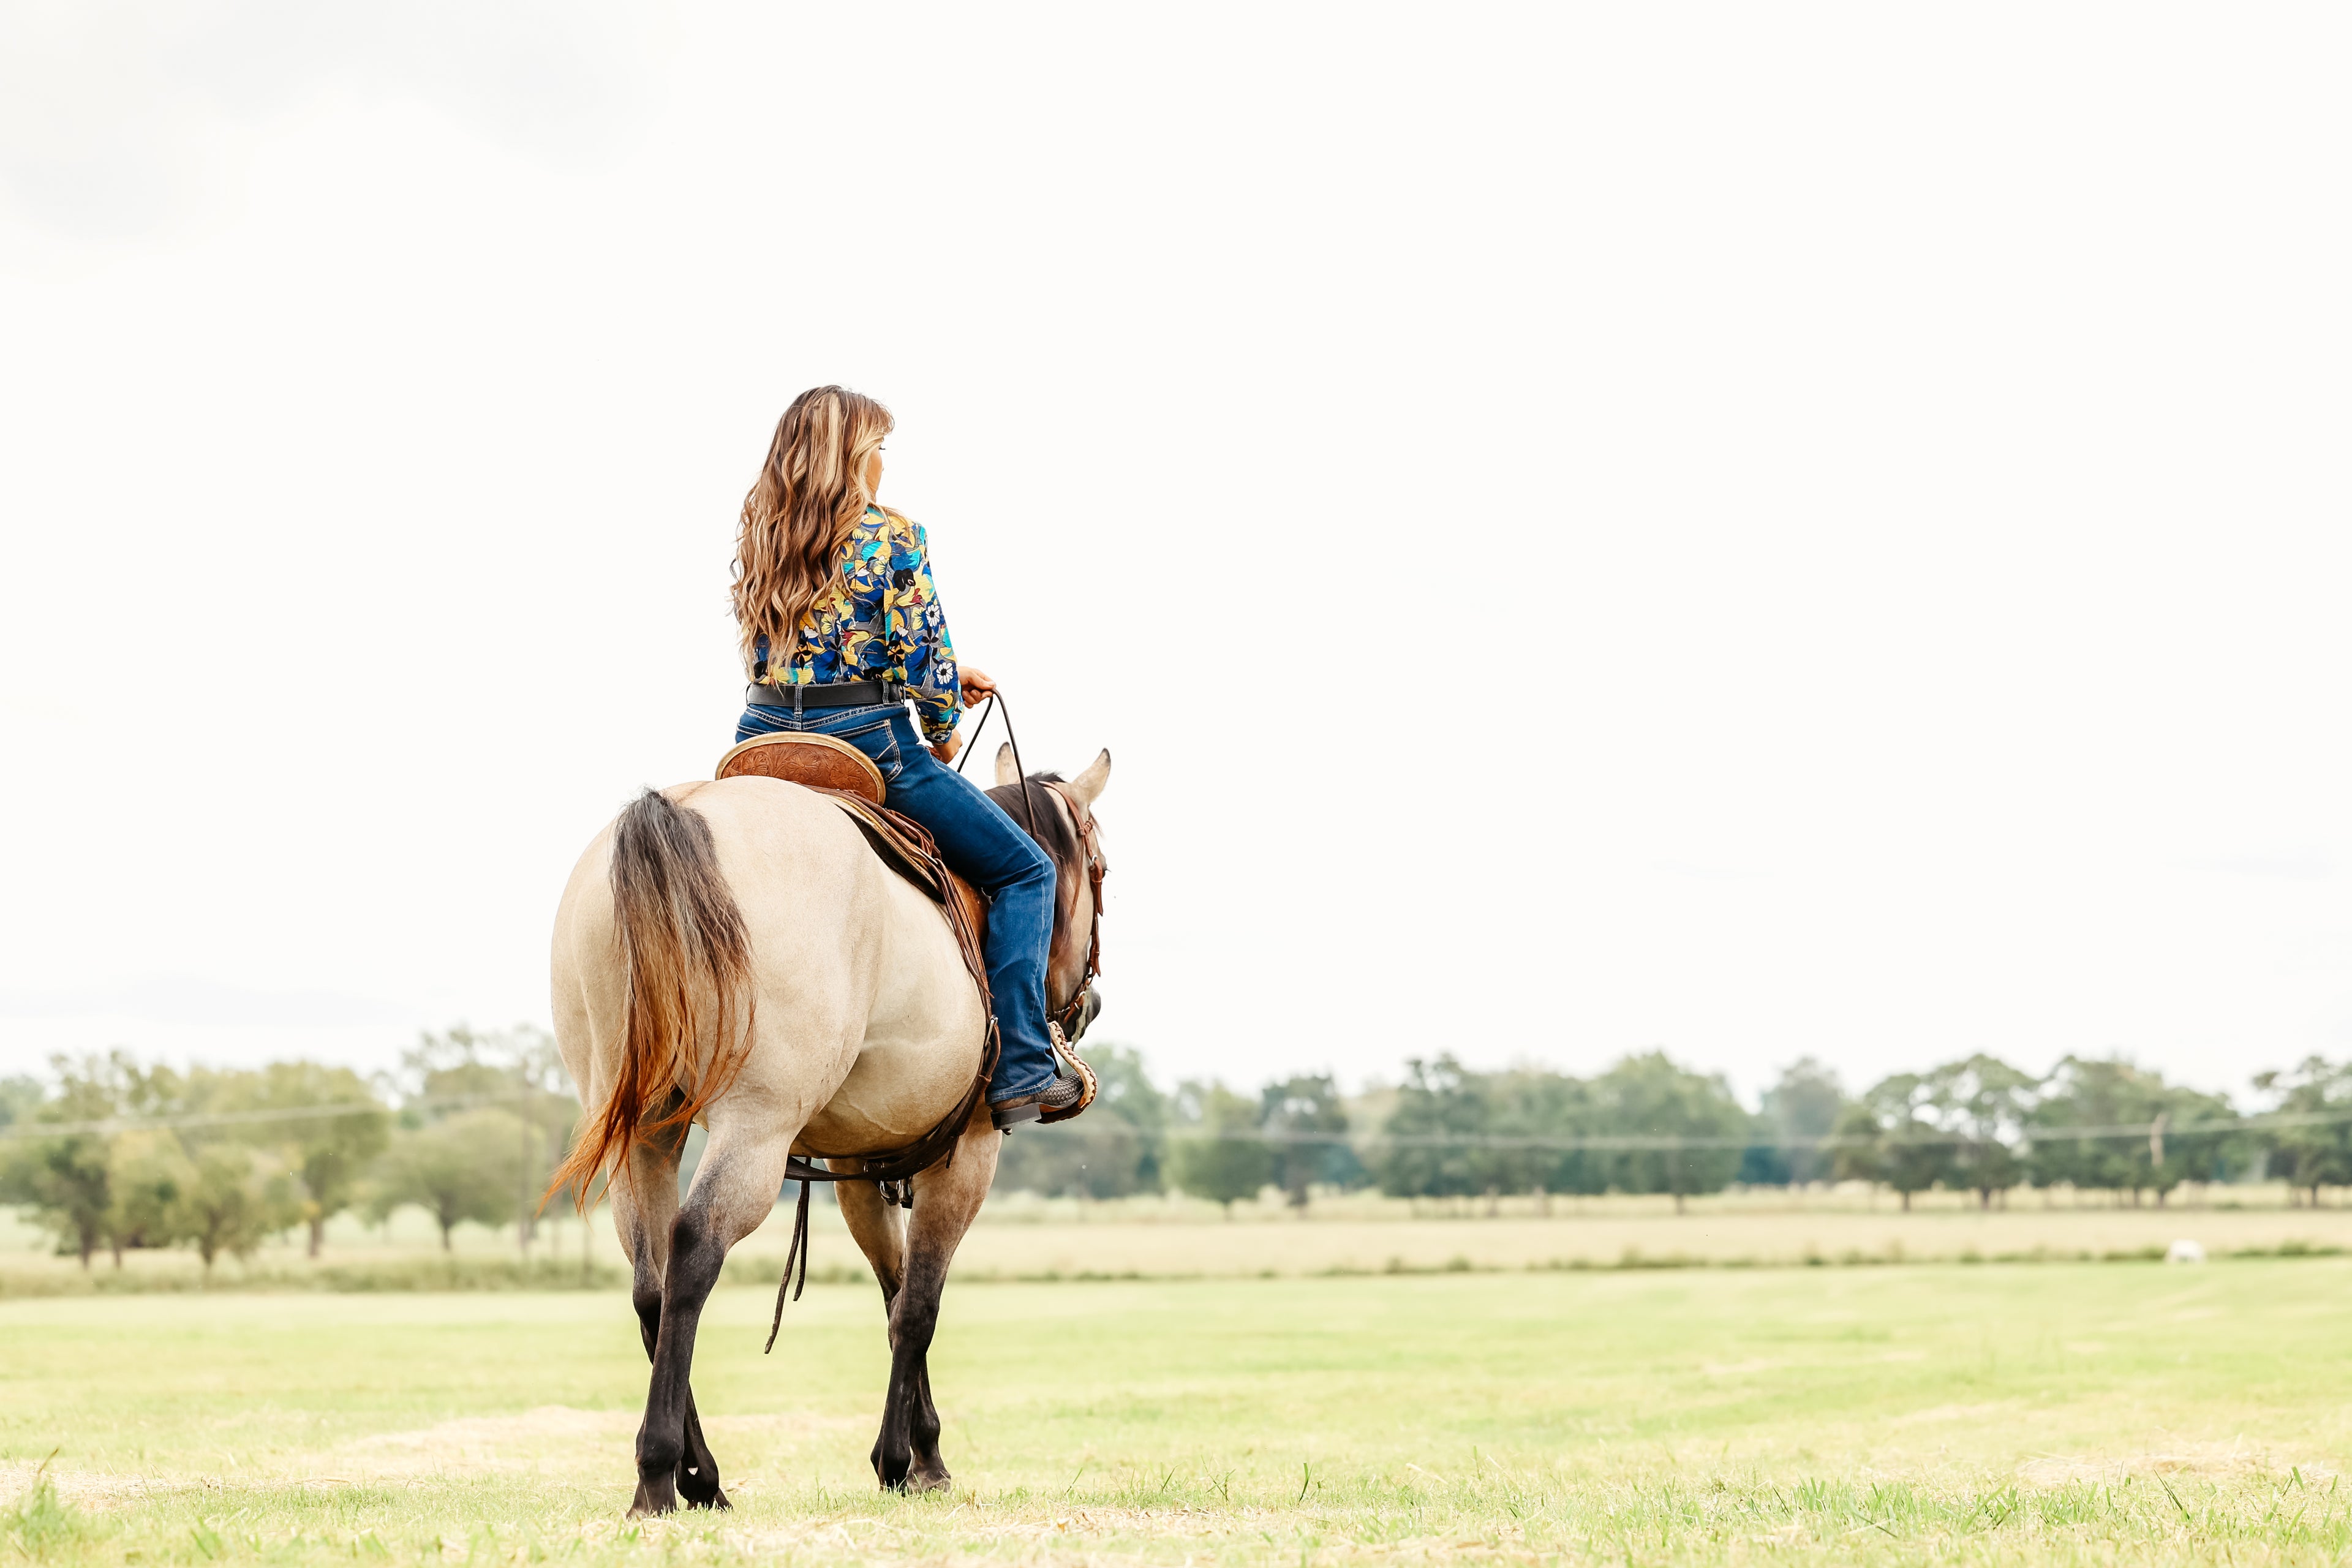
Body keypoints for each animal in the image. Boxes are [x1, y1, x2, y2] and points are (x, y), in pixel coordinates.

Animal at [550, 742, 1110, 1513]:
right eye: (1101, 870)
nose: (1088, 1004)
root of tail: (678, 814)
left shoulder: (862, 1166)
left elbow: (895, 1291)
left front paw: (925, 1454)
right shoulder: (969, 1154)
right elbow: (919, 1306)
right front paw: (899, 1460)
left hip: (643, 1129)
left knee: (651, 1284)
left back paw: (700, 1476)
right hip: (756, 1126)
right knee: (694, 1247)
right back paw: (661, 1473)